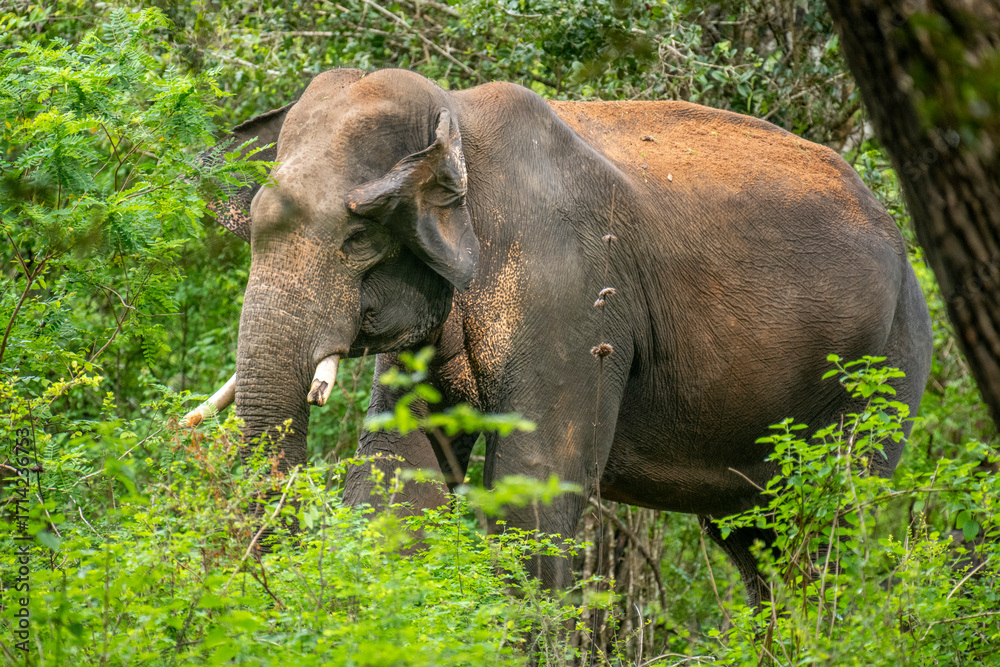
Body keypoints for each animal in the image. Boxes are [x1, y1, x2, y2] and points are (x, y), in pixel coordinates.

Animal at [186, 67, 933, 604]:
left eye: (358, 239)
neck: (455, 116)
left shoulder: (573, 292)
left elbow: (534, 489)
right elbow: (397, 480)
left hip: (883, 367)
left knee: (831, 525)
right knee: (758, 541)